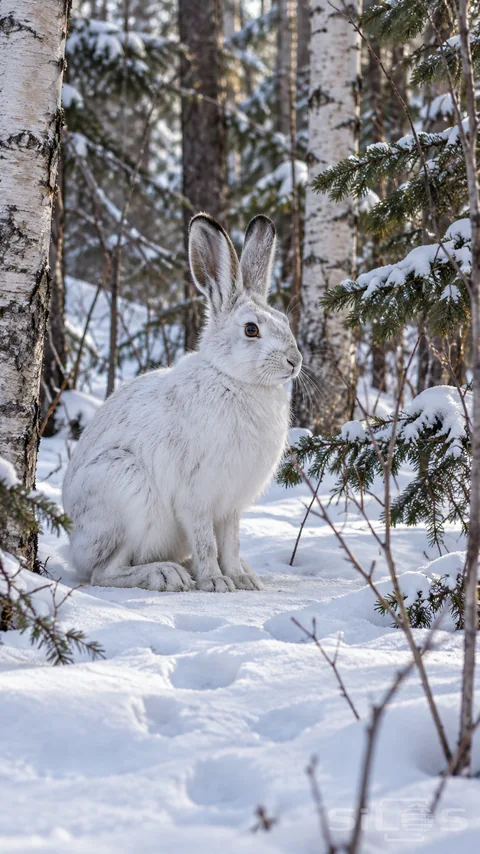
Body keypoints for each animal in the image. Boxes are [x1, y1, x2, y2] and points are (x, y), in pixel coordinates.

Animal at [62, 213, 302, 592]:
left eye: (285, 321)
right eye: (251, 330)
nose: (295, 361)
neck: (234, 380)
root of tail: (73, 546)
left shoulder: (230, 507)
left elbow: (231, 543)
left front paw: (240, 579)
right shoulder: (196, 497)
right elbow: (206, 542)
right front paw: (216, 583)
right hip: (124, 490)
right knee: (104, 572)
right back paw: (166, 574)